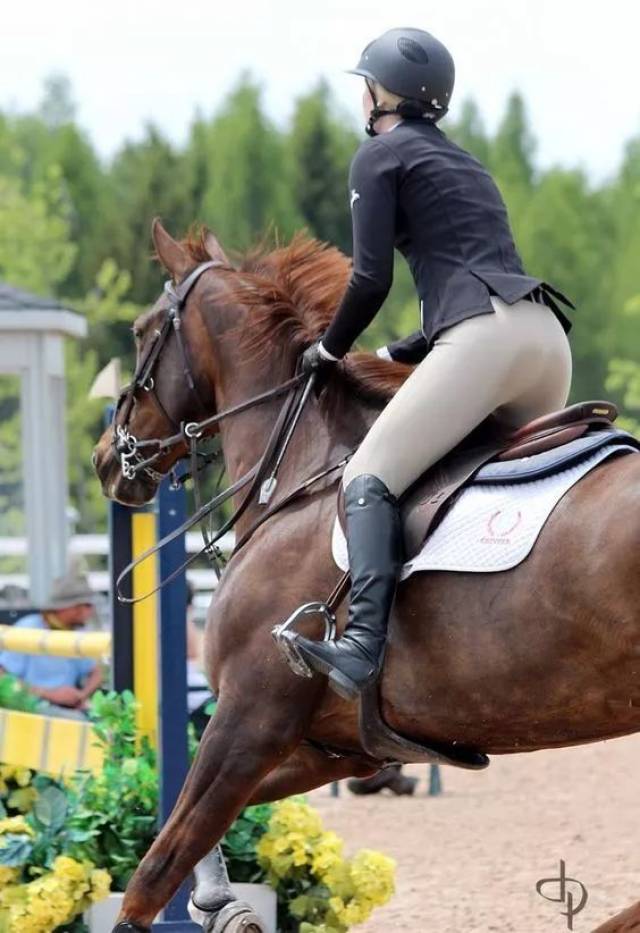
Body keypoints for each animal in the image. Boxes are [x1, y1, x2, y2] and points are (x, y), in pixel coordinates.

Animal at [93, 219, 640, 933]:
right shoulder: (330, 745)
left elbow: (159, 862)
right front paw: (217, 902)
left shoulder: (249, 718)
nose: (107, 461)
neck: (300, 476)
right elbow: (186, 833)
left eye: (140, 331)